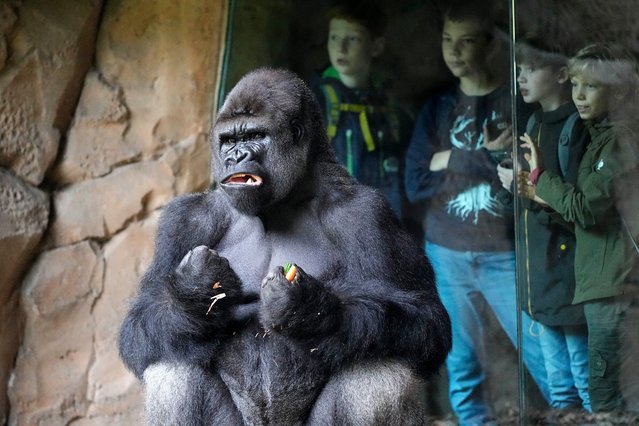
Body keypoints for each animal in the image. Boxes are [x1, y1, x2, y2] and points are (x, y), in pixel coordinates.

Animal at [119, 68, 450, 424]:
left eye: (255, 136)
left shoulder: (368, 212)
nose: (235, 156)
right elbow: (140, 324)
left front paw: (308, 309)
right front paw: (195, 291)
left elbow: (427, 321)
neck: (282, 204)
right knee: (174, 365)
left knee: (379, 368)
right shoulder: (185, 220)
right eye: (229, 141)